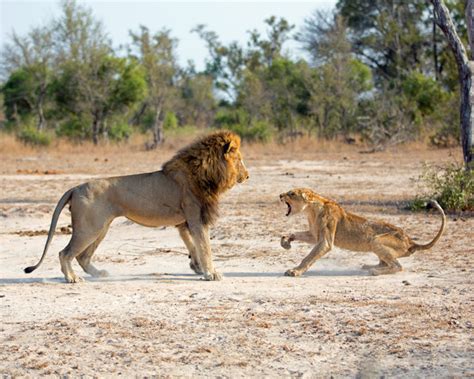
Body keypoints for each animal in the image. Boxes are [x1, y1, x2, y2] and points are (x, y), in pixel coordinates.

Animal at [24, 131, 250, 282]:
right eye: (239, 160)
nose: (248, 176)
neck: (206, 173)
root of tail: (75, 187)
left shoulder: (185, 222)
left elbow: (193, 245)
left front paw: (197, 267)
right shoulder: (196, 218)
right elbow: (205, 247)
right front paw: (211, 273)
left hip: (100, 228)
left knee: (82, 257)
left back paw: (101, 274)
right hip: (89, 228)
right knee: (65, 253)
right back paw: (71, 278)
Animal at [278, 189, 444, 276]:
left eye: (291, 193)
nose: (280, 195)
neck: (311, 210)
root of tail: (411, 241)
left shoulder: (325, 241)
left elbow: (309, 257)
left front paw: (295, 271)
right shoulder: (314, 234)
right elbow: (296, 233)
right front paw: (285, 241)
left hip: (376, 240)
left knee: (398, 266)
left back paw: (375, 271)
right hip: (376, 243)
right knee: (385, 261)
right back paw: (370, 266)